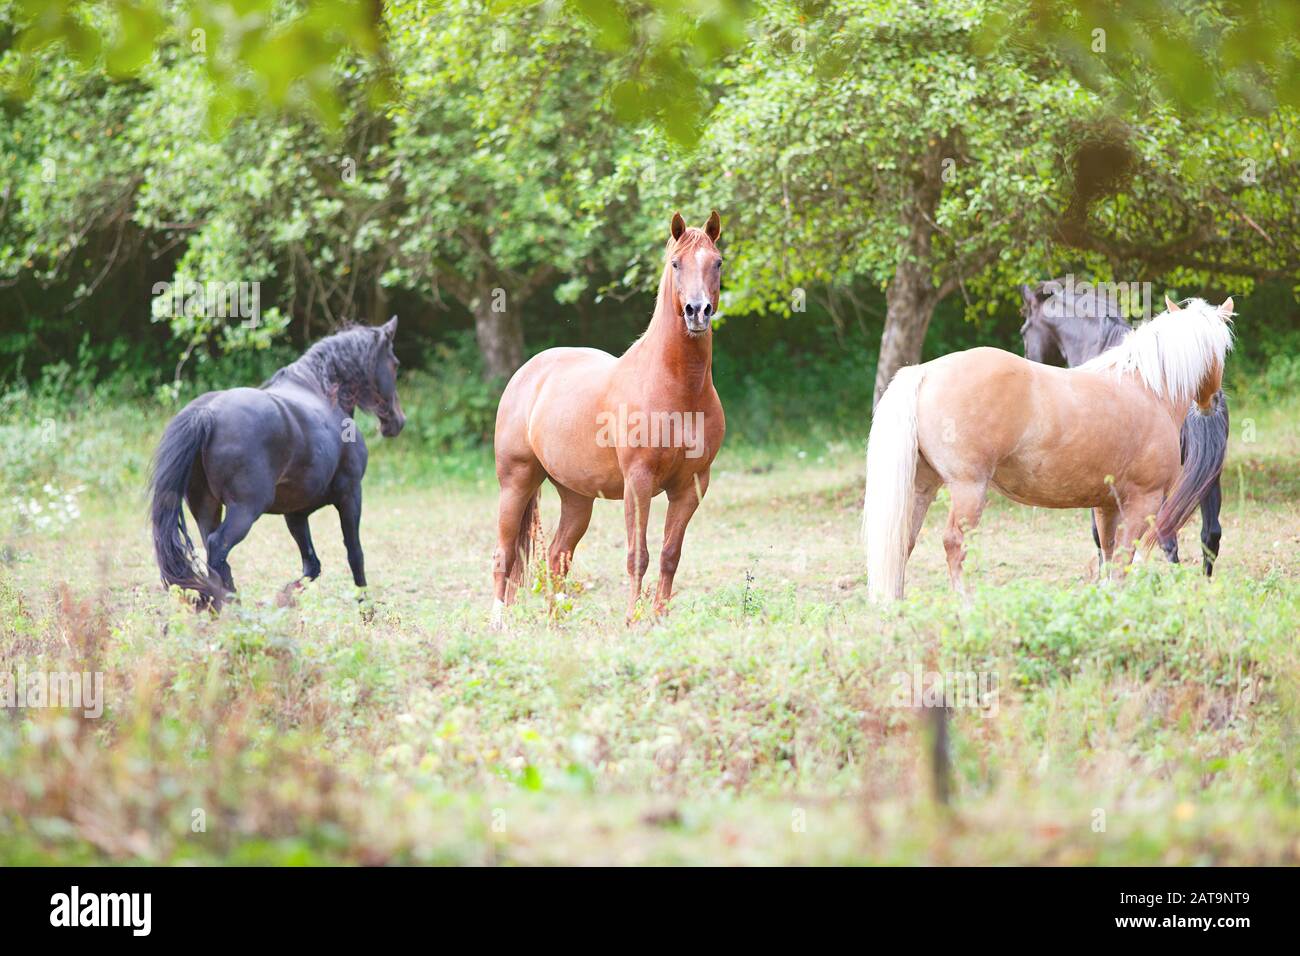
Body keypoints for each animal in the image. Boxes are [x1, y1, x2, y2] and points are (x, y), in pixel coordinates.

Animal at [147, 317, 403, 608]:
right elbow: (355, 553)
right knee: (217, 547)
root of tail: (206, 414)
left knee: (213, 556)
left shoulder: (296, 513)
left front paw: (285, 597)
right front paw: (365, 605)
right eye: (395, 364)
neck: (323, 390)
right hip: (245, 510)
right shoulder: (350, 496)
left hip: (206, 508)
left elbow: (312, 565)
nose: (397, 421)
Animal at [491, 212, 728, 624]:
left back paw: (555, 625)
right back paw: (497, 624)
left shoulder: (692, 487)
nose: (697, 312)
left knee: (557, 556)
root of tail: (528, 373)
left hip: (576, 497)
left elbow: (669, 555)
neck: (678, 390)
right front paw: (632, 621)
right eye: (676, 263)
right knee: (503, 556)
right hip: (516, 482)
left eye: (717, 262)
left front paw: (659, 620)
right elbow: (638, 557)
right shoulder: (638, 482)